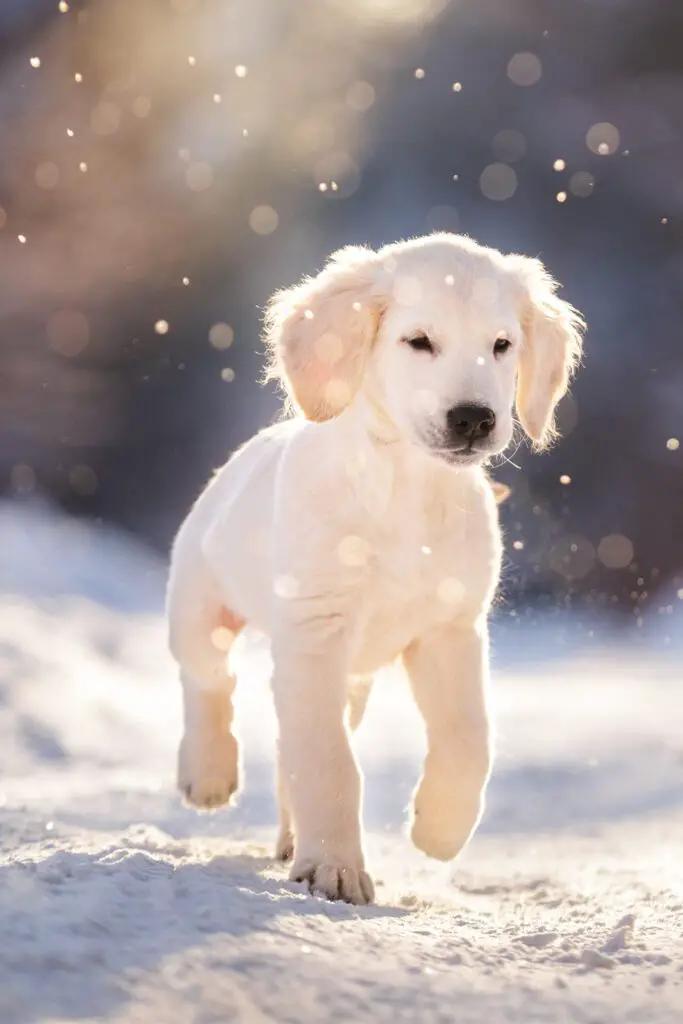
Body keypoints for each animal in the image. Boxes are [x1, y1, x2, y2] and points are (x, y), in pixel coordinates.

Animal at [167, 232, 585, 905]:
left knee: (284, 744)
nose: (473, 418)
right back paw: (208, 772)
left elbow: (469, 739)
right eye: (418, 341)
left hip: (351, 680)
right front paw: (335, 867)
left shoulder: (450, 630)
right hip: (200, 607)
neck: (406, 489)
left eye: (501, 345)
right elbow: (331, 761)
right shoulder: (316, 633)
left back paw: (291, 837)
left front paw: (440, 828)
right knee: (210, 679)